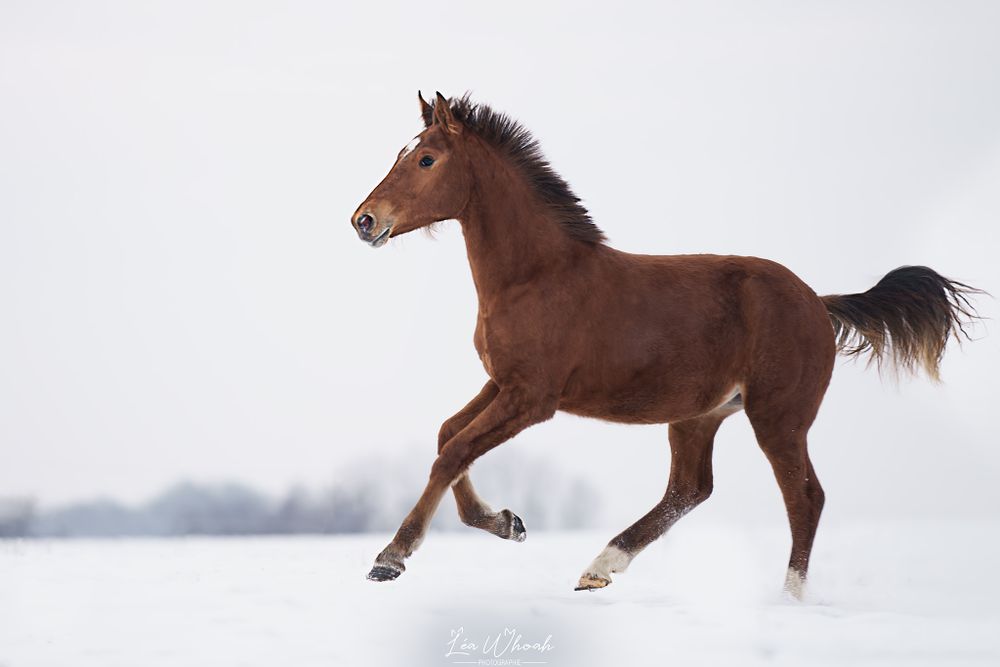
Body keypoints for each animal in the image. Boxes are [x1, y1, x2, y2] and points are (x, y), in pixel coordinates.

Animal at [349, 92, 980, 598]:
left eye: (426, 159)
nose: (364, 220)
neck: (538, 275)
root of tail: (818, 303)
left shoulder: (533, 397)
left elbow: (453, 451)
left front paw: (391, 558)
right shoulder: (502, 382)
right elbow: (447, 436)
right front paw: (508, 522)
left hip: (778, 417)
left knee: (805, 497)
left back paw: (790, 598)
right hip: (698, 415)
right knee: (690, 489)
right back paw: (599, 567)